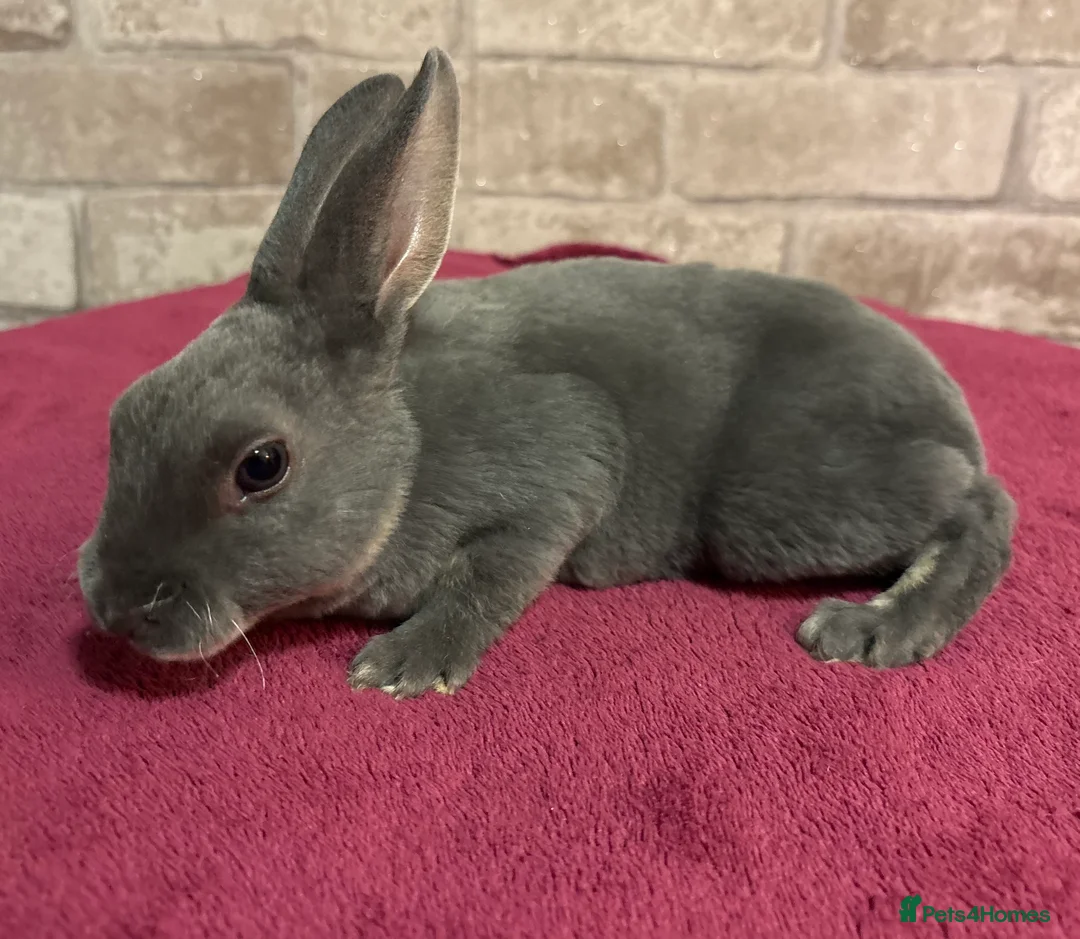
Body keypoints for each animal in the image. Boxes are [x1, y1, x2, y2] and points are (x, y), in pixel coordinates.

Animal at [77, 48, 1016, 699]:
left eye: (261, 466)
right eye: (123, 417)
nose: (117, 606)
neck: (409, 443)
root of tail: (948, 403)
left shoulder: (559, 469)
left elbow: (491, 574)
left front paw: (404, 665)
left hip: (769, 501)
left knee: (980, 505)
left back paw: (873, 629)